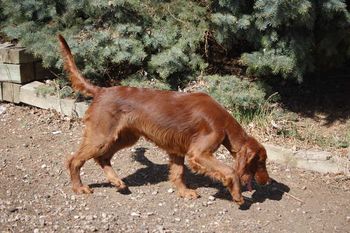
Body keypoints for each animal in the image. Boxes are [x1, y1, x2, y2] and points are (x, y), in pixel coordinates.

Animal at [58, 33, 270, 205]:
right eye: (261, 162)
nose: (267, 181)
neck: (224, 122)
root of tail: (101, 91)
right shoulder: (199, 153)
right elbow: (229, 170)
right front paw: (237, 195)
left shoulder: (178, 149)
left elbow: (178, 173)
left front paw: (184, 192)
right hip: (101, 136)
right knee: (74, 160)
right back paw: (79, 187)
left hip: (126, 137)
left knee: (103, 157)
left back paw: (116, 181)